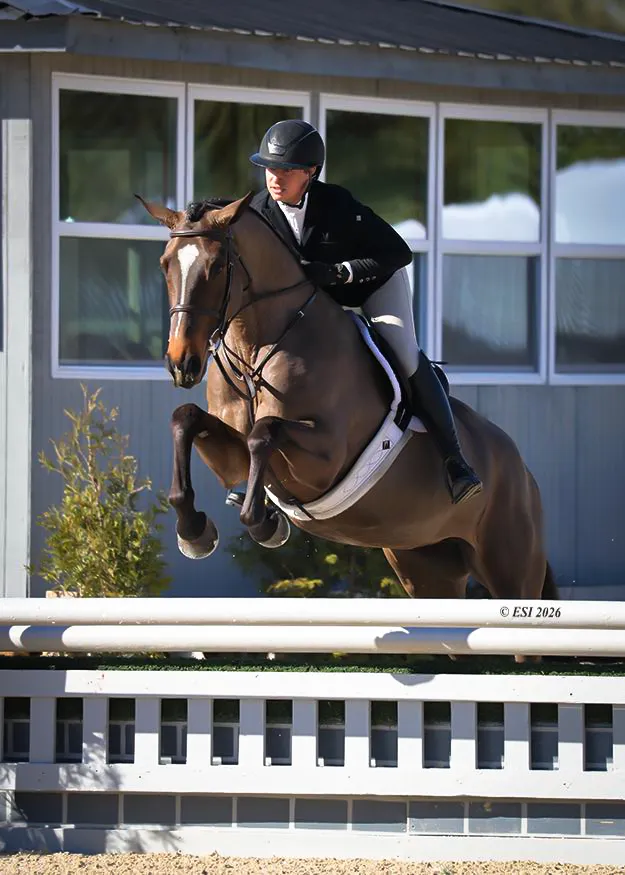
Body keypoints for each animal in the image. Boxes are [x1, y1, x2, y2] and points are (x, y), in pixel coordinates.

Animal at [138, 192, 559, 612]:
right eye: (164, 264)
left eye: (215, 266)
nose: (182, 364)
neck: (256, 347)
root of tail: (523, 471)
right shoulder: (231, 455)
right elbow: (186, 418)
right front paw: (194, 531)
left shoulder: (323, 460)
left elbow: (264, 433)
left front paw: (264, 524)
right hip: (426, 567)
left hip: (510, 568)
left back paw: (463, 475)